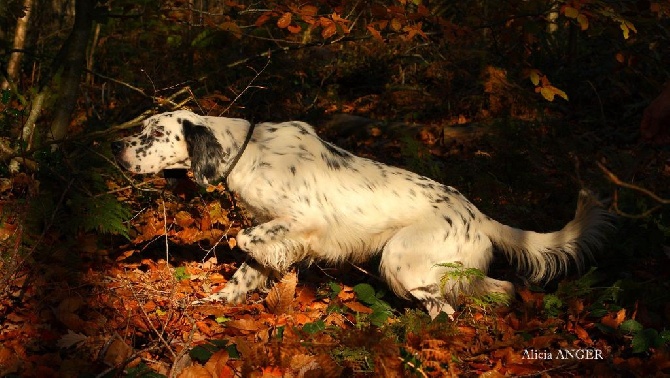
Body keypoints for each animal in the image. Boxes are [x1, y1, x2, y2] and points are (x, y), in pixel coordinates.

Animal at [111, 110, 616, 318]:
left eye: (154, 133)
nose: (117, 148)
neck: (247, 151)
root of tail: (479, 214)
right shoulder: (272, 226)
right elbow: (245, 267)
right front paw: (216, 302)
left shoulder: (303, 223)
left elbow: (247, 241)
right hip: (450, 269)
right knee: (498, 289)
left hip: (400, 260)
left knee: (443, 310)